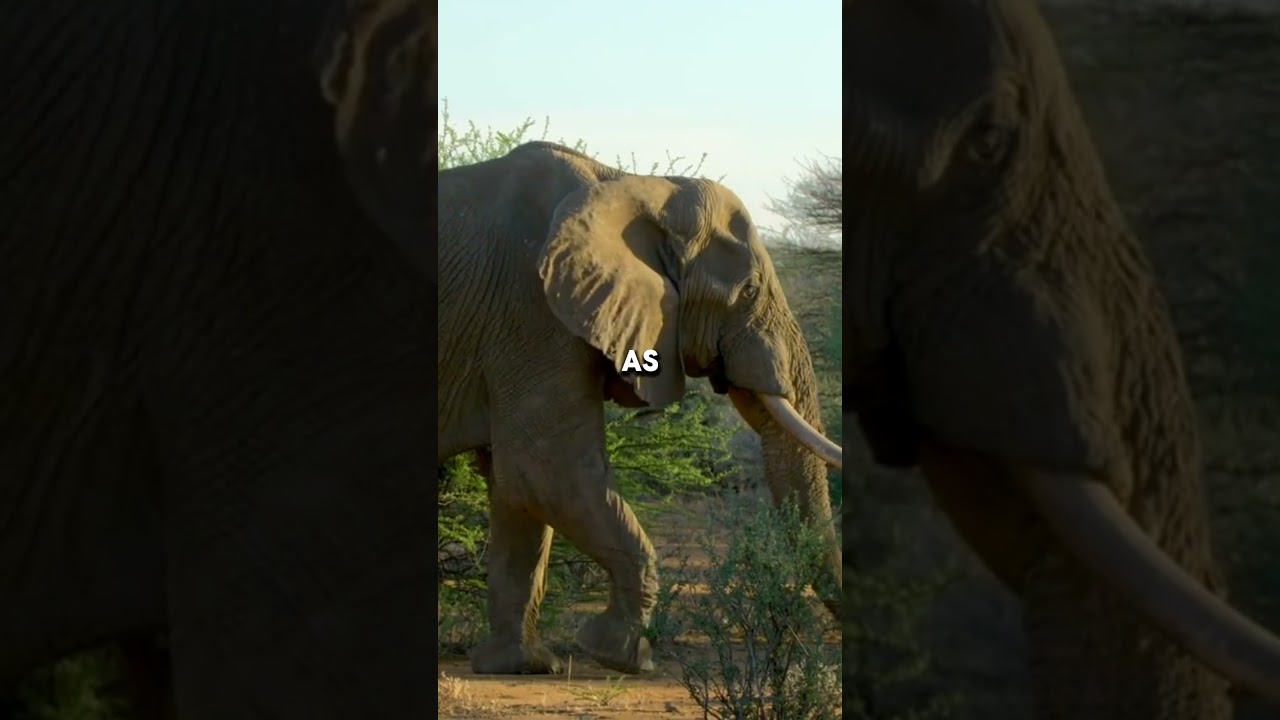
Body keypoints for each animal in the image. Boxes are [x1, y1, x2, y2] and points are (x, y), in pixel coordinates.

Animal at [437, 141, 844, 676]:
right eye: (750, 291)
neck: (633, 187)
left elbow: (516, 490)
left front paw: (520, 665)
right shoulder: (531, 308)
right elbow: (546, 471)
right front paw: (618, 655)